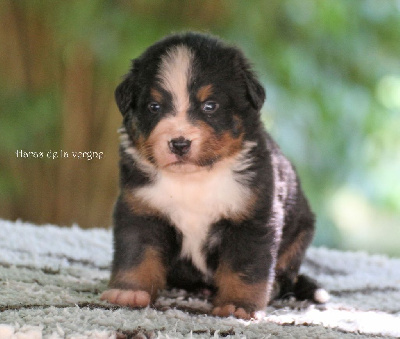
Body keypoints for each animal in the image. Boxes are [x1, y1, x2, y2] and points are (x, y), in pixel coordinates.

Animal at [101, 31, 328, 318]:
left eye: (210, 106)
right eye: (154, 106)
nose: (179, 143)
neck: (193, 181)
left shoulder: (252, 218)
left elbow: (245, 267)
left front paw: (238, 305)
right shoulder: (141, 209)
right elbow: (137, 255)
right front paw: (129, 291)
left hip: (301, 231)